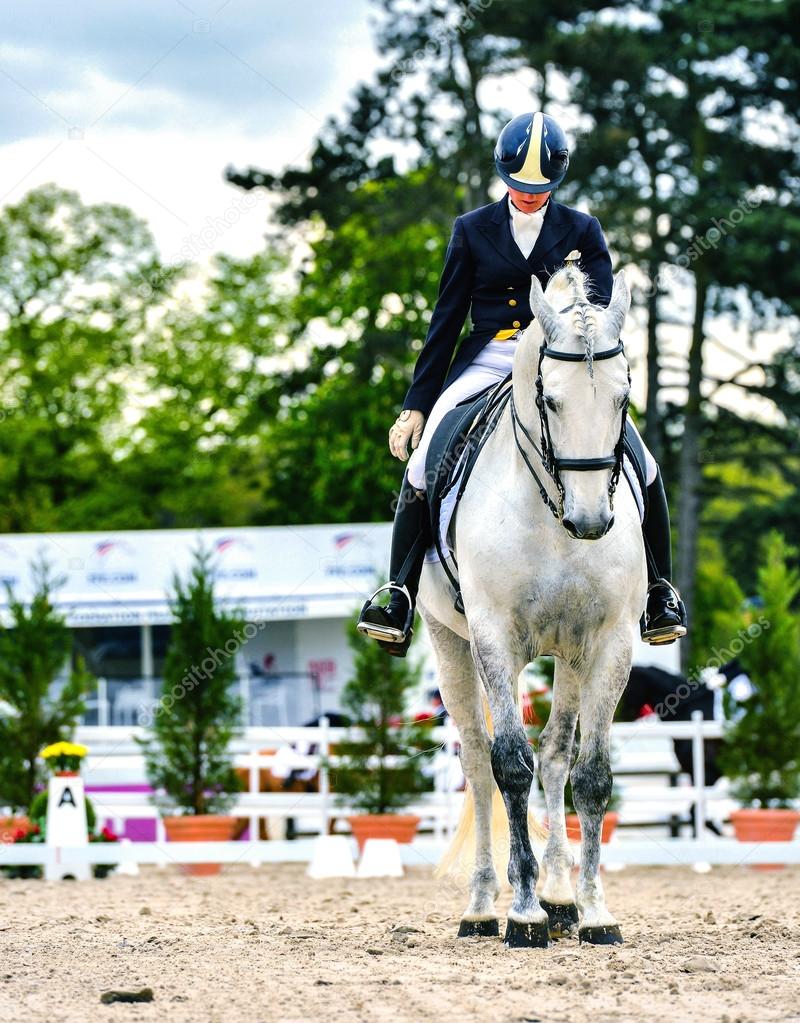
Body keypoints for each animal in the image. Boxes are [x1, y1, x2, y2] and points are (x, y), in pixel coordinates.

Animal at [419, 265, 646, 949]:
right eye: (551, 401)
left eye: (622, 400)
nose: (592, 521)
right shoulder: (495, 638)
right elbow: (508, 767)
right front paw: (522, 914)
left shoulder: (610, 641)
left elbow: (590, 774)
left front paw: (594, 911)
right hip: (449, 640)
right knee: (478, 761)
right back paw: (482, 907)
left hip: (569, 659)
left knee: (555, 757)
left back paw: (561, 895)